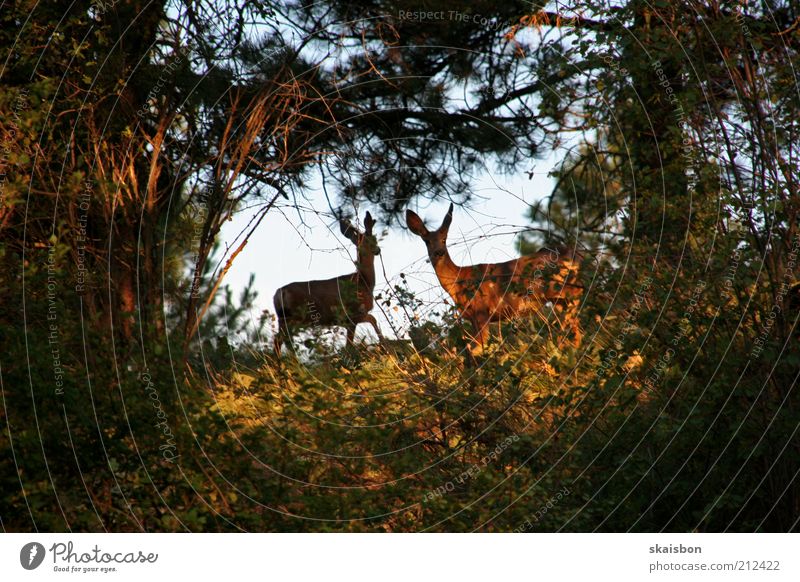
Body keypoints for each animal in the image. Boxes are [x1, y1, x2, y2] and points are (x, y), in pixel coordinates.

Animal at [274, 212, 382, 358]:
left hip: (283, 318)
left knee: (281, 339)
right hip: (296, 317)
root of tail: (280, 293)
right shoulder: (353, 314)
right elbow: (370, 322)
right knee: (282, 339)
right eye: (372, 240)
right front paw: (383, 341)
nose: (378, 250)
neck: (363, 281)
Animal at [406, 203, 580, 358]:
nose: (439, 252)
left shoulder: (482, 312)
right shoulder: (473, 318)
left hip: (569, 292)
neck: (459, 282)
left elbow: (477, 349)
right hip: (560, 300)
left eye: (444, 239)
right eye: (427, 241)